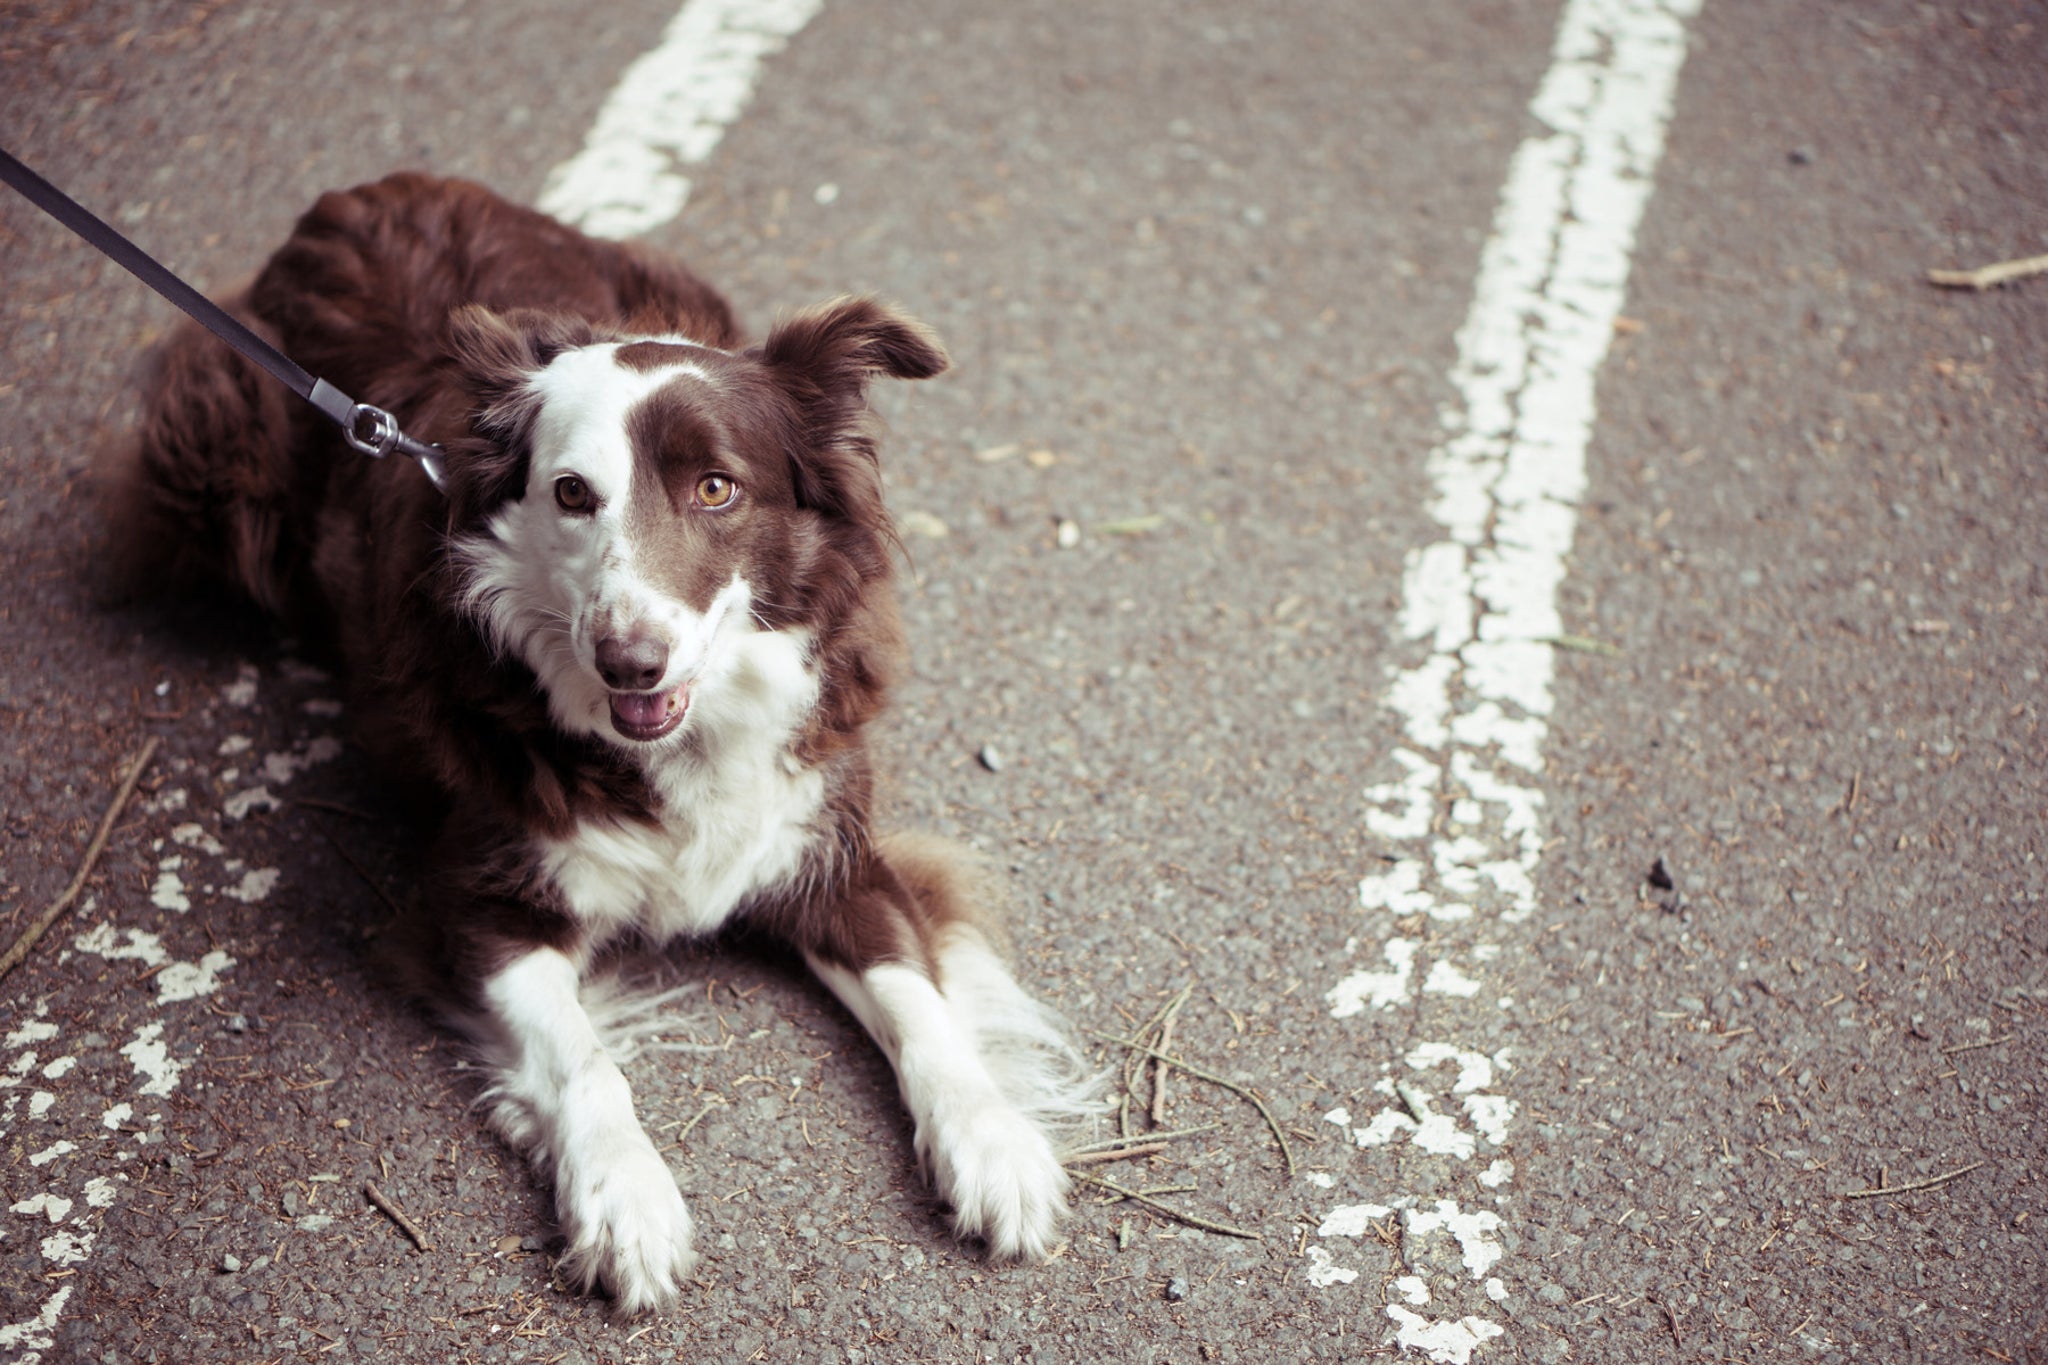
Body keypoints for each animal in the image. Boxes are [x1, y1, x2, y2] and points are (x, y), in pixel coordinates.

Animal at [112, 170, 1105, 1309]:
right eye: (571, 493)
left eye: (716, 487)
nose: (629, 661)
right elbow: (582, 1059)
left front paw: (994, 1144)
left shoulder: (831, 847)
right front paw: (626, 1201)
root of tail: (355, 193)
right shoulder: (478, 901)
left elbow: (922, 1003)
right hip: (214, 465)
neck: (683, 741)